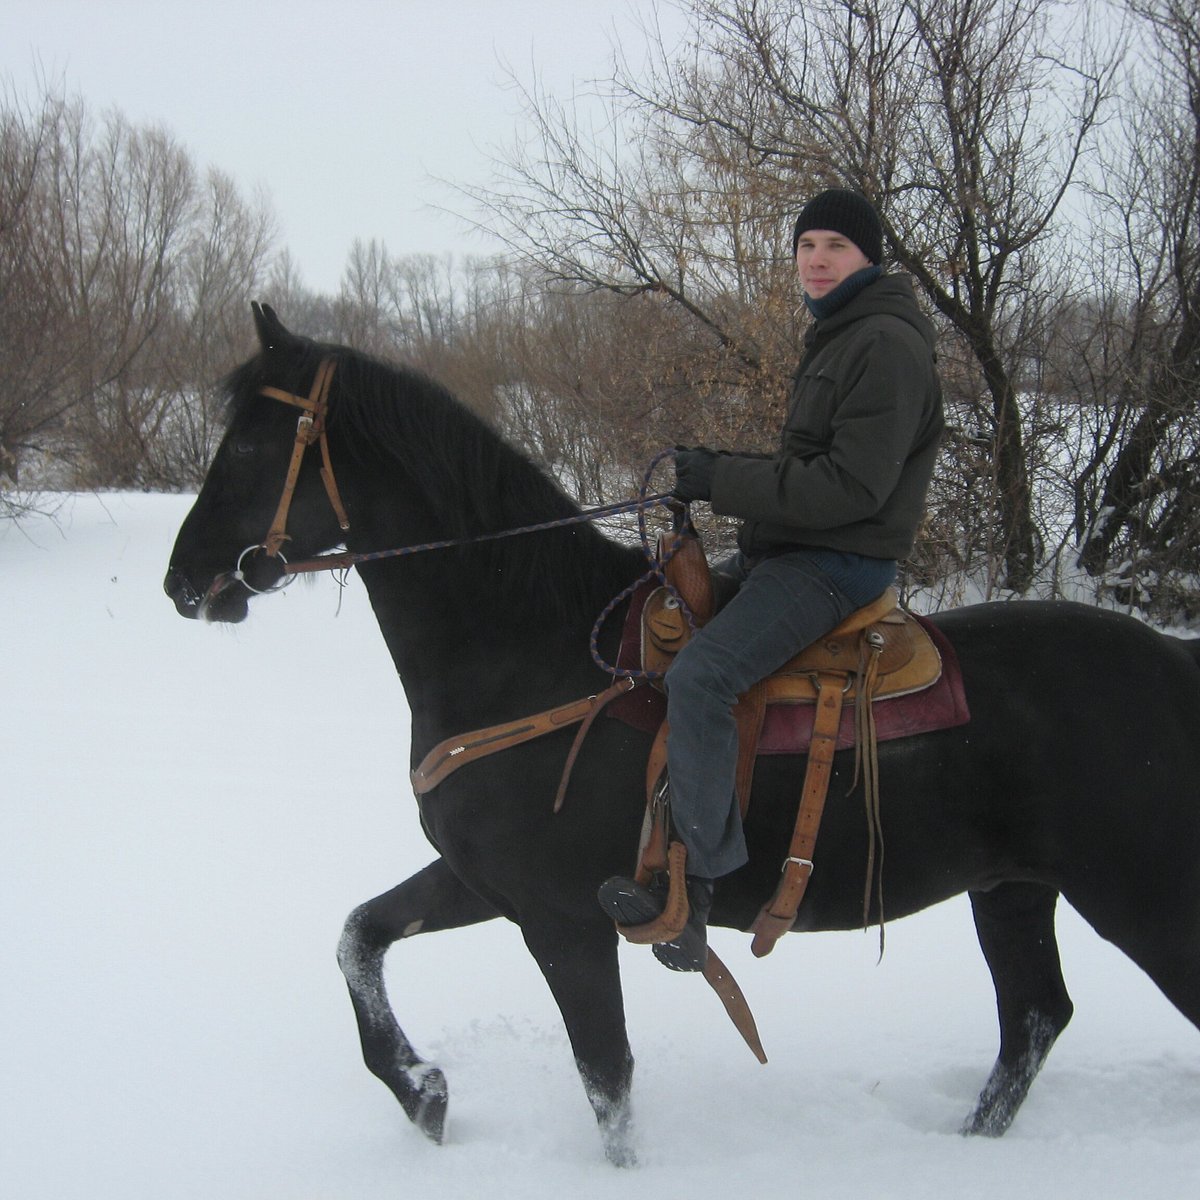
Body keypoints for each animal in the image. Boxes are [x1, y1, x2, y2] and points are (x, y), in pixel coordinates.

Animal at [162, 304, 1200, 1166]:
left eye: (250, 446)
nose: (184, 581)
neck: (531, 649)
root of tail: (1175, 662)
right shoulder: (487, 884)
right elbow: (359, 937)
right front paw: (422, 1091)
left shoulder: (566, 922)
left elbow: (608, 1083)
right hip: (1014, 890)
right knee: (1033, 1018)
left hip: (1143, 902)